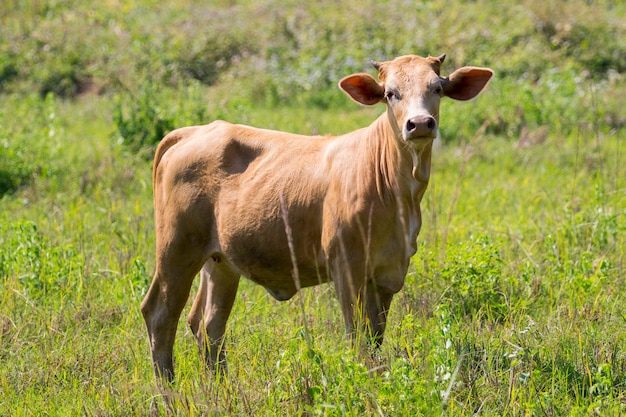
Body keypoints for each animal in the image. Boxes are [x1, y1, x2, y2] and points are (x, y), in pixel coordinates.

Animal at [141, 52, 492, 380]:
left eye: (437, 88)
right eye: (391, 93)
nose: (419, 123)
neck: (396, 192)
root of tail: (194, 131)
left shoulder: (388, 271)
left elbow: (375, 338)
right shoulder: (346, 265)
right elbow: (357, 336)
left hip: (220, 260)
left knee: (208, 323)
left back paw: (220, 387)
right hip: (176, 249)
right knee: (160, 314)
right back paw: (169, 390)